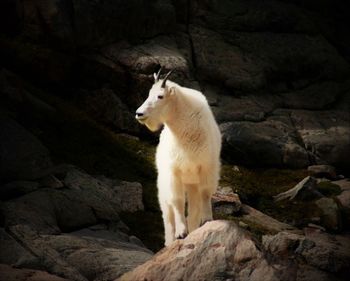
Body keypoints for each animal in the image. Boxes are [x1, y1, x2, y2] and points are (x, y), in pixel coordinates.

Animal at [135, 68, 220, 245]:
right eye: (149, 93)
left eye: (160, 96)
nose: (139, 113)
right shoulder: (173, 171)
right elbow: (177, 200)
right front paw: (181, 232)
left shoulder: (207, 166)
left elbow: (205, 193)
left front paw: (207, 220)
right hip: (163, 184)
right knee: (167, 214)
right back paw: (169, 242)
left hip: (192, 183)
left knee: (194, 207)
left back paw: (194, 229)